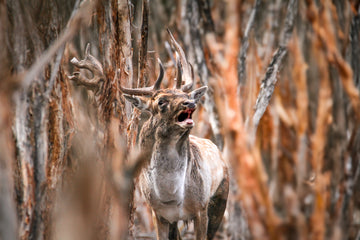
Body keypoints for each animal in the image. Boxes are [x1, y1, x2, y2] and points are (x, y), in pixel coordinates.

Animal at [119, 31, 229, 239]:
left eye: (184, 95)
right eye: (161, 101)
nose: (190, 102)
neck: (170, 196)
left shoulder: (201, 208)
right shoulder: (158, 214)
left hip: (221, 196)